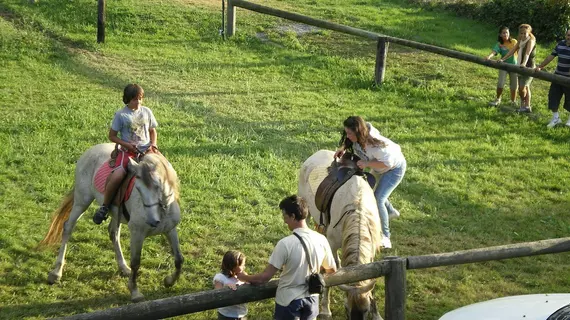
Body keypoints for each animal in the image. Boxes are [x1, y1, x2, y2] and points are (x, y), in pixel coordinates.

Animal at [39, 143, 182, 302]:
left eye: (158, 185)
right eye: (137, 188)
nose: (152, 221)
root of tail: (91, 150)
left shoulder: (170, 229)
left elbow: (179, 259)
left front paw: (169, 281)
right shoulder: (137, 233)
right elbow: (136, 262)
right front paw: (135, 292)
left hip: (114, 211)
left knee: (113, 233)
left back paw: (123, 267)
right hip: (82, 200)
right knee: (68, 227)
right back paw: (56, 272)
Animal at [298, 150, 382, 320]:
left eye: (366, 310)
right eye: (346, 309)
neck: (357, 211)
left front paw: (377, 313)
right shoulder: (332, 243)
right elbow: (331, 271)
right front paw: (325, 309)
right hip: (306, 212)